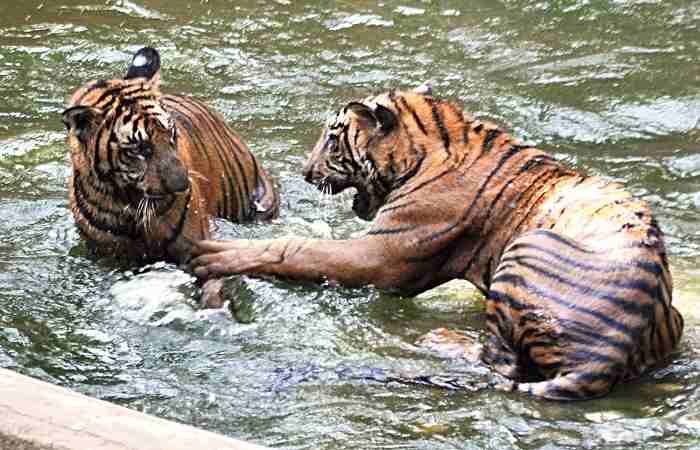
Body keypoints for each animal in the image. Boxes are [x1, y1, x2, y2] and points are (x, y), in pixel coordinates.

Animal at [191, 82, 684, 400]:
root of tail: (610, 354)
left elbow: (298, 248)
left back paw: (442, 339)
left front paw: (220, 253)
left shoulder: (379, 255)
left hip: (525, 250)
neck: (425, 148)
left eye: (332, 138)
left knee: (499, 360)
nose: (306, 172)